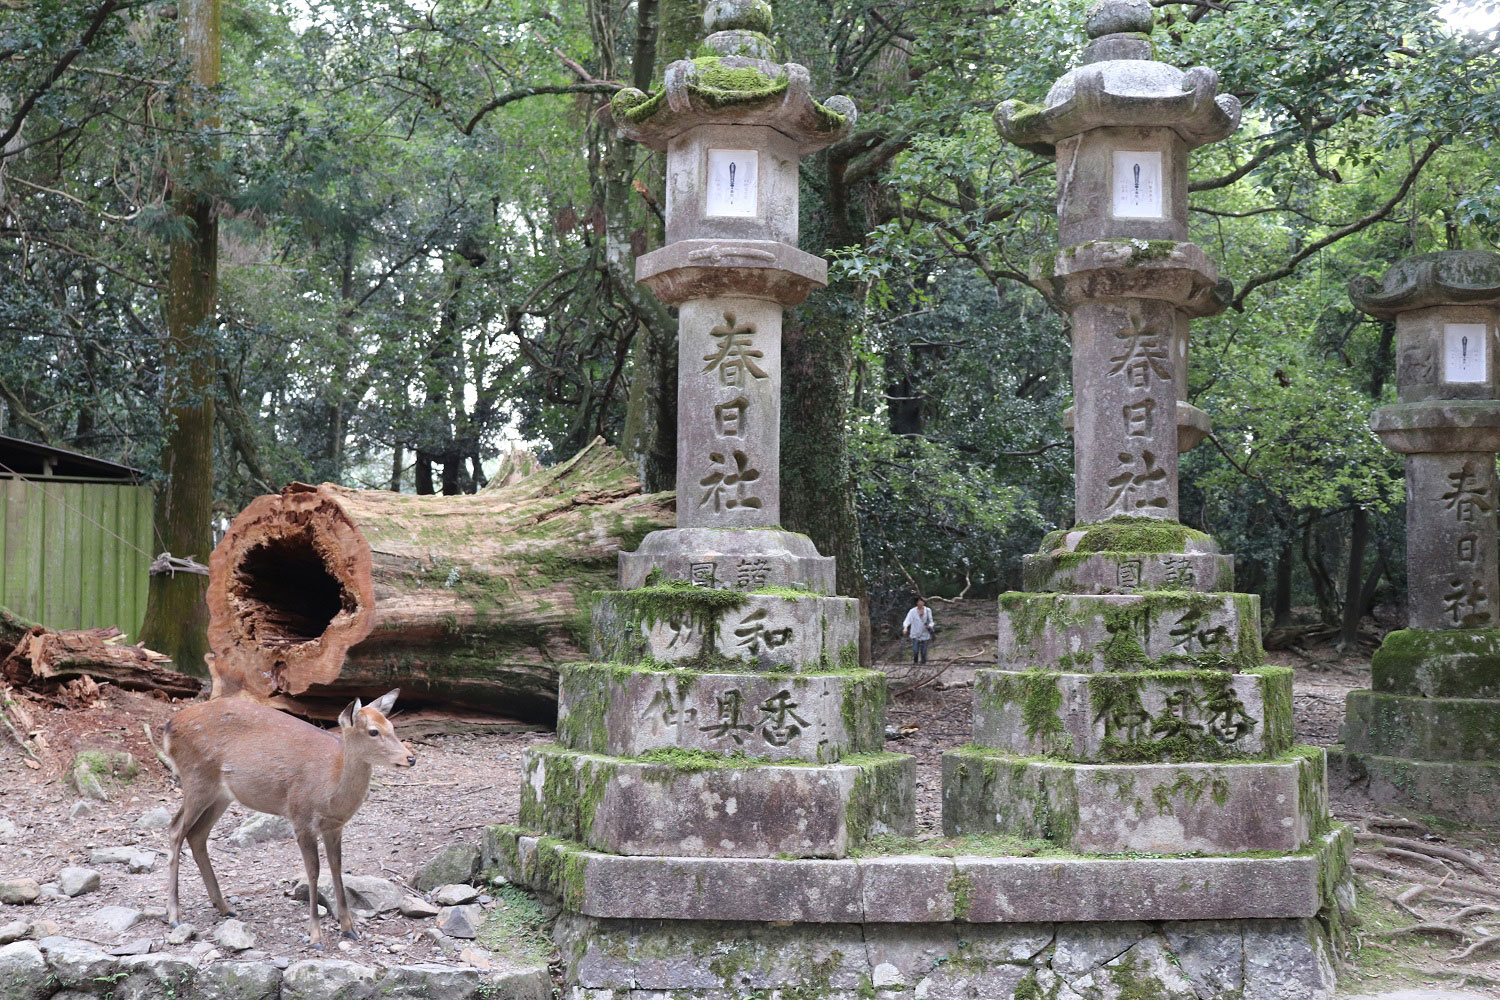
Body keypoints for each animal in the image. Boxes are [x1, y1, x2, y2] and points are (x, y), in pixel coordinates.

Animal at [162, 692, 417, 953]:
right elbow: (313, 872)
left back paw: (224, 907)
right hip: (196, 778)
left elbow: (336, 867)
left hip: (221, 795)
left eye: (392, 726)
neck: (330, 789)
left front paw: (349, 928)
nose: (410, 758)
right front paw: (315, 936)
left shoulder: (334, 826)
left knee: (197, 834)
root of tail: (170, 726)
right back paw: (174, 916)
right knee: (175, 829)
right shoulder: (301, 818)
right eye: (373, 731)